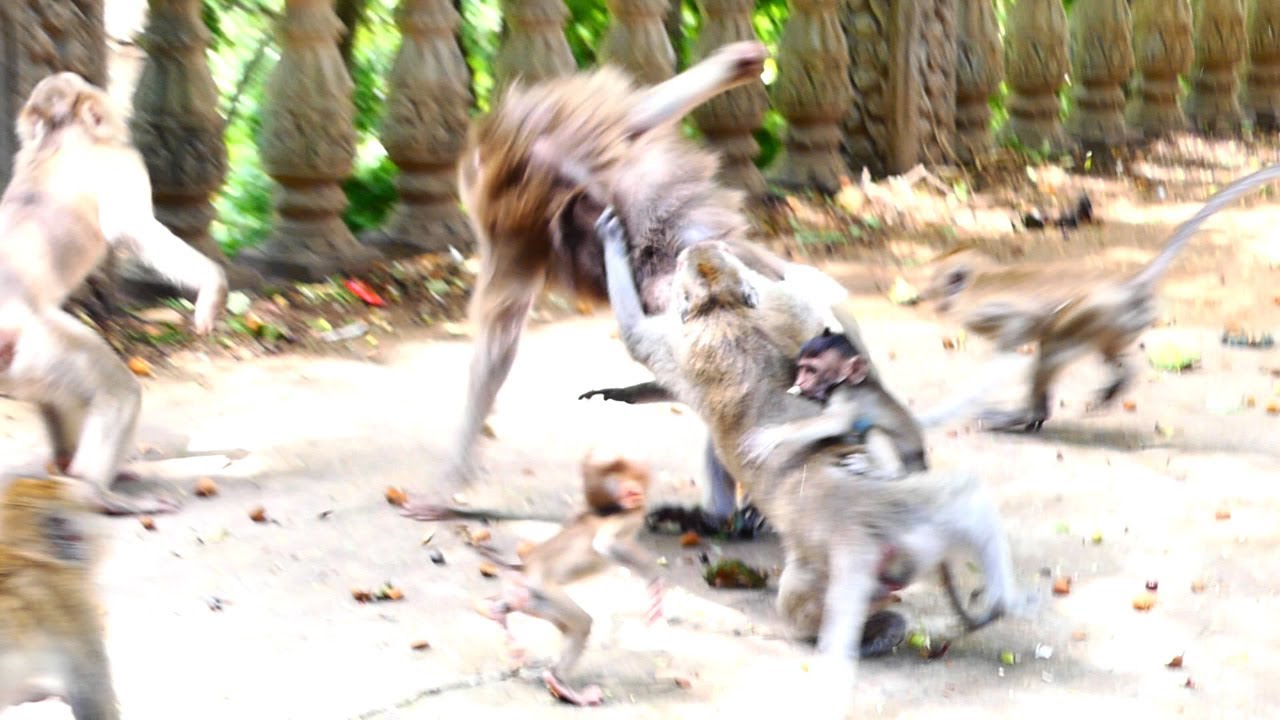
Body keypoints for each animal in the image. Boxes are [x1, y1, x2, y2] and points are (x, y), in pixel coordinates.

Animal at [0, 72, 227, 515]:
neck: (58, 137)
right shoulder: (120, 162)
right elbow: (132, 229)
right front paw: (214, 285)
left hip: (21, 362)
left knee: (58, 396)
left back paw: (70, 467)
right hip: (35, 341)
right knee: (116, 391)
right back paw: (95, 491)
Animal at [463, 447, 666, 707]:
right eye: (630, 488)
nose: (635, 495)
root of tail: (526, 571)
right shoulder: (628, 516)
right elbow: (606, 544)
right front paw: (654, 582)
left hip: (534, 601)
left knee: (556, 621)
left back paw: (496, 611)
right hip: (544, 592)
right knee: (581, 624)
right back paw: (558, 681)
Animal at [589, 207, 1034, 709]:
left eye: (689, 264)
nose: (696, 247)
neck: (724, 304)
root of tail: (860, 523)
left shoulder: (685, 339)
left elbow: (636, 336)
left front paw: (611, 240)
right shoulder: (779, 311)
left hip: (821, 568)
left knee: (797, 604)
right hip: (922, 518)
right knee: (965, 494)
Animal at [913, 163, 1280, 433]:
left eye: (936, 285)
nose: (928, 298)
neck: (979, 281)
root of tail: (1129, 285)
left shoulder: (983, 311)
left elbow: (1015, 341)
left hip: (1097, 312)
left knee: (1051, 346)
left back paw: (1032, 413)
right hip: (1120, 321)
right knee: (1095, 352)